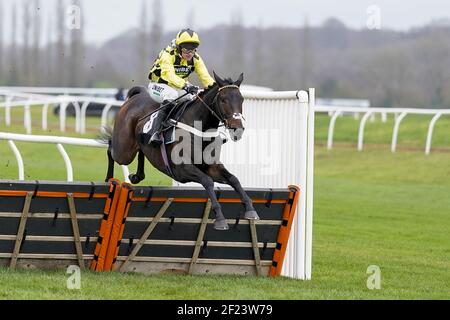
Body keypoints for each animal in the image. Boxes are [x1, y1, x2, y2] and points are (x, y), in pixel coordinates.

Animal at [105, 72, 258, 230]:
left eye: (241, 99)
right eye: (223, 99)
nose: (237, 129)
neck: (199, 130)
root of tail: (137, 96)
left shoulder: (211, 166)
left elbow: (234, 179)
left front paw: (250, 209)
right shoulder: (182, 169)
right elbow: (207, 181)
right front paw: (220, 219)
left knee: (140, 151)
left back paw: (136, 176)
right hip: (124, 151)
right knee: (111, 149)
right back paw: (109, 179)